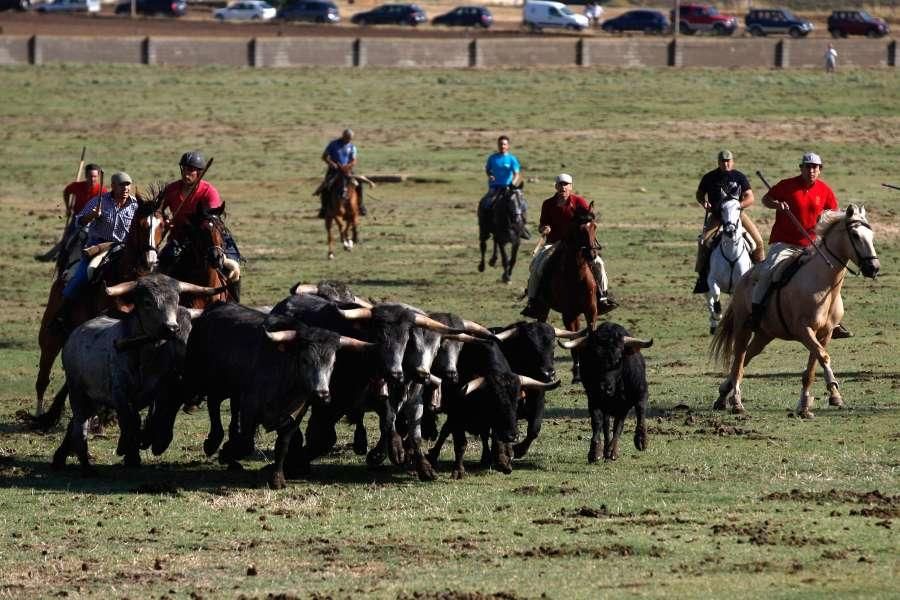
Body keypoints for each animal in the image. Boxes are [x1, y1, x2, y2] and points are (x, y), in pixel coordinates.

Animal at [33, 196, 167, 418]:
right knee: (43, 374)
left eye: (162, 225)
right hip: (50, 336)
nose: (151, 261)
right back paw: (40, 412)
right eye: (141, 225)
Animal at [708, 199, 756, 336]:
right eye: (721, 208)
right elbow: (716, 293)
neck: (731, 253)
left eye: (738, 208)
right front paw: (718, 314)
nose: (730, 230)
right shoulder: (711, 279)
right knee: (709, 300)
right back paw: (713, 323)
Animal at [712, 205, 880, 418]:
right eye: (856, 235)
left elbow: (812, 367)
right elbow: (823, 356)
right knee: (738, 362)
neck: (824, 285)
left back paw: (722, 395)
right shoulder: (804, 330)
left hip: (764, 335)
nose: (873, 268)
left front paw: (808, 405)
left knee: (747, 358)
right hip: (743, 328)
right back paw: (736, 402)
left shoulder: (824, 334)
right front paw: (833, 390)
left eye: (871, 236)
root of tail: (744, 279)